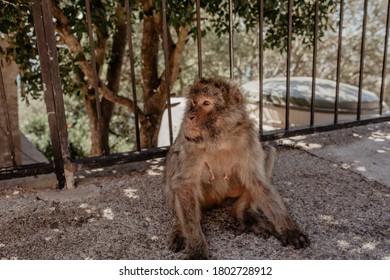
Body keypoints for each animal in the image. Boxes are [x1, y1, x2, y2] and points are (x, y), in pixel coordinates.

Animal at [163, 77, 310, 260]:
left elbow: (257, 181)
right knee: (175, 165)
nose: (190, 116)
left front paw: (289, 229)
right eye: (194, 102)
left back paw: (243, 213)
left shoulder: (248, 136)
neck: (221, 138)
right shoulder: (189, 140)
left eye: (206, 103)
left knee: (268, 152)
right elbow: (185, 185)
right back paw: (181, 230)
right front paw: (196, 248)